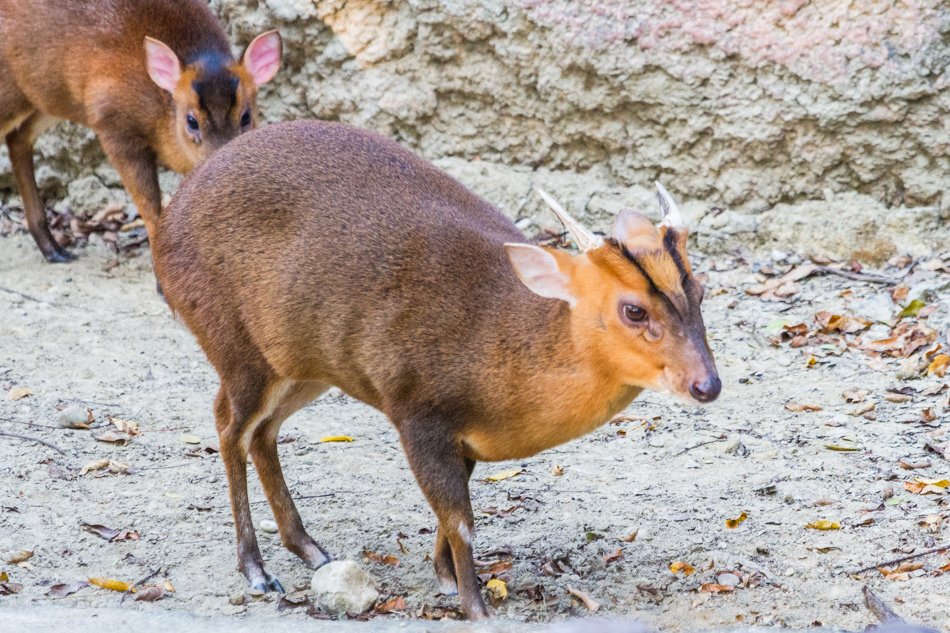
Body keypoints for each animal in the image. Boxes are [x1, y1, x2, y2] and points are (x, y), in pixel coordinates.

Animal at [0, 0, 282, 262]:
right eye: (191, 121)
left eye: (246, 117)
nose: (222, 163)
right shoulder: (113, 125)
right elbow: (151, 208)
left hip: (48, 98)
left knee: (18, 137)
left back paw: (54, 250)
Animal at [154, 121, 720, 620]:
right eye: (634, 310)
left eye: (699, 288)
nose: (707, 385)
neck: (504, 353)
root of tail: (167, 220)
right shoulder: (417, 409)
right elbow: (460, 518)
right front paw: (476, 605)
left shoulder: (459, 436)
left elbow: (450, 516)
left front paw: (444, 576)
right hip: (234, 342)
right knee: (229, 424)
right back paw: (256, 569)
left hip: (304, 364)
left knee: (263, 431)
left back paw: (311, 549)